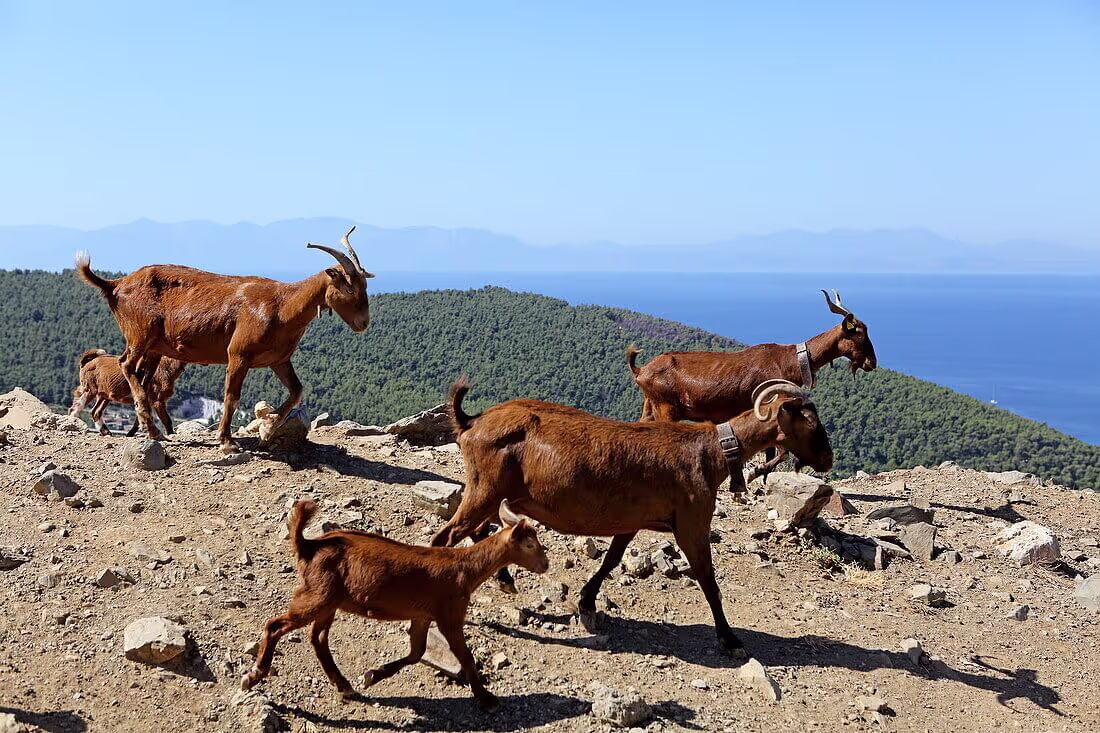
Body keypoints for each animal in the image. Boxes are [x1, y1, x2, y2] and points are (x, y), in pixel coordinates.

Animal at [76, 227, 373, 453]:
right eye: (349, 288)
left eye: (365, 285)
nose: (363, 323)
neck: (283, 306)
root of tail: (116, 285)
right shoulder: (238, 354)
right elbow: (231, 396)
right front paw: (227, 441)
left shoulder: (279, 360)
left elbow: (297, 391)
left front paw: (270, 427)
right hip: (140, 334)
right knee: (126, 365)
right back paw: (151, 430)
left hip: (154, 347)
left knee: (142, 377)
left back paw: (153, 431)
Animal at [242, 499, 548, 712]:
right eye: (530, 545)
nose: (545, 565)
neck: (465, 568)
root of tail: (308, 546)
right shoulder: (449, 613)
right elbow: (464, 656)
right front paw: (486, 698)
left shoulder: (423, 615)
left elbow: (417, 652)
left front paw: (373, 675)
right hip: (317, 595)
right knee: (276, 625)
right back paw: (255, 674)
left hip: (329, 600)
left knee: (317, 637)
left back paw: (345, 686)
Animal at [432, 378, 832, 657]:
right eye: (812, 423)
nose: (828, 460)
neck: (712, 451)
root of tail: (472, 422)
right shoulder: (691, 521)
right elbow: (707, 579)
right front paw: (730, 639)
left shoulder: (632, 521)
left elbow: (612, 559)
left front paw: (587, 601)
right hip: (485, 488)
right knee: (447, 537)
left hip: (491, 492)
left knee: (477, 530)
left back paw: (504, 579)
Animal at [627, 289, 874, 479]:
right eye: (859, 334)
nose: (871, 362)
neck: (788, 361)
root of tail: (641, 370)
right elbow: (780, 451)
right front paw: (756, 472)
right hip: (665, 408)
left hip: (650, 406)